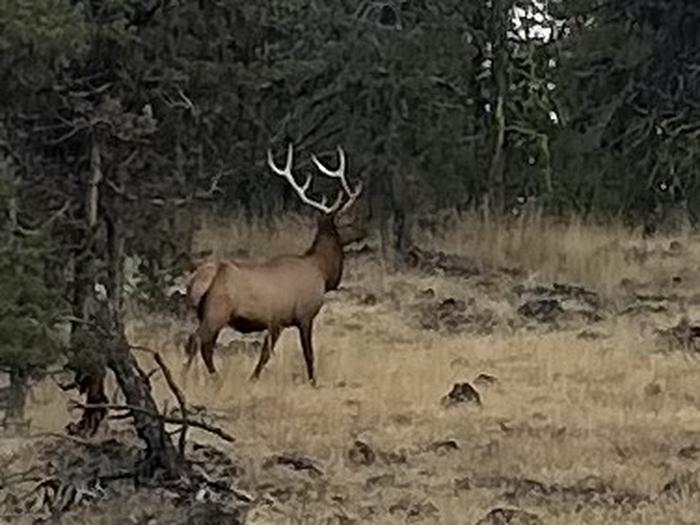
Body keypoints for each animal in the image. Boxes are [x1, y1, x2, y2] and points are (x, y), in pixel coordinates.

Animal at [183, 143, 364, 384]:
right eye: (346, 223)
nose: (363, 231)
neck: (322, 271)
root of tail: (195, 281)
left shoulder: (277, 322)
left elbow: (265, 354)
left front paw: (253, 378)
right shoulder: (303, 315)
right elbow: (307, 354)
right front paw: (313, 382)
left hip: (205, 312)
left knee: (202, 344)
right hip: (217, 311)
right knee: (197, 341)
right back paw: (196, 377)